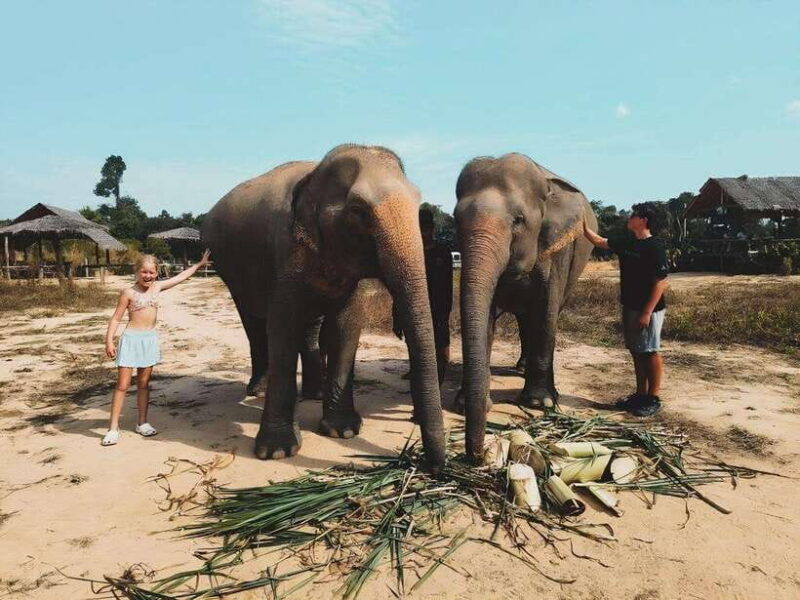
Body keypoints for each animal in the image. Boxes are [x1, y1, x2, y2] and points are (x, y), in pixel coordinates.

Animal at [201, 144, 446, 470]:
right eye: (358, 210)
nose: (434, 466)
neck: (315, 174)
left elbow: (346, 326)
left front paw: (343, 431)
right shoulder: (285, 254)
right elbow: (282, 327)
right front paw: (277, 452)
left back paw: (313, 394)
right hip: (228, 269)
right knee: (253, 323)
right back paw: (258, 390)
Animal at [454, 153, 597, 460]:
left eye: (519, 220)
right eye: (456, 219)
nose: (475, 455)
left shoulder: (557, 248)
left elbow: (545, 312)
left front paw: (539, 403)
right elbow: (486, 319)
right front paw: (466, 402)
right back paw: (520, 367)